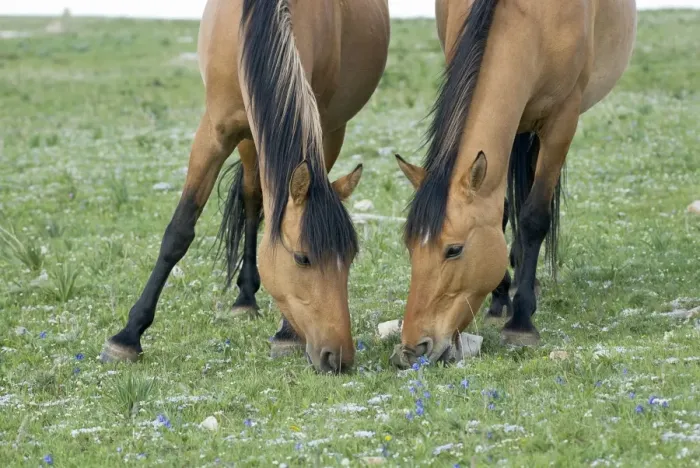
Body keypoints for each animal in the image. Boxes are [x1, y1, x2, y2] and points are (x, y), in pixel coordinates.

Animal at [100, 0, 390, 373]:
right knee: (253, 199)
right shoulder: (214, 132)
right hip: (249, 138)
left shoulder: (322, 127)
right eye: (302, 258)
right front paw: (127, 336)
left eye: (351, 257)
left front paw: (286, 335)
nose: (338, 357)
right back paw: (245, 298)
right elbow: (178, 232)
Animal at [390, 0, 636, 367]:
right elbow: (503, 210)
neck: (535, 18)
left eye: (454, 249)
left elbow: (534, 218)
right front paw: (501, 297)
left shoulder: (562, 122)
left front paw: (521, 322)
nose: (411, 350)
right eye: (410, 246)